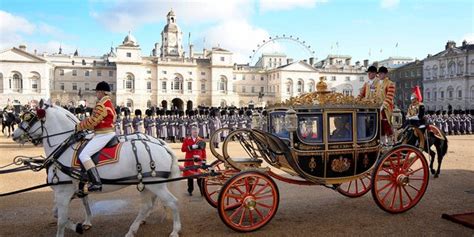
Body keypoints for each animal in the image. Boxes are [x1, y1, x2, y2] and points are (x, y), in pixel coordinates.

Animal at [11, 100, 181, 237]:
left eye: (28, 117)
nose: (14, 134)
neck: (64, 148)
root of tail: (162, 146)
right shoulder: (73, 189)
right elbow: (63, 212)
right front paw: (82, 224)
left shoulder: (63, 191)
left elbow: (61, 220)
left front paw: (77, 226)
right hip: (146, 183)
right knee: (146, 206)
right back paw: (132, 230)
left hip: (156, 184)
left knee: (173, 202)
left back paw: (174, 231)